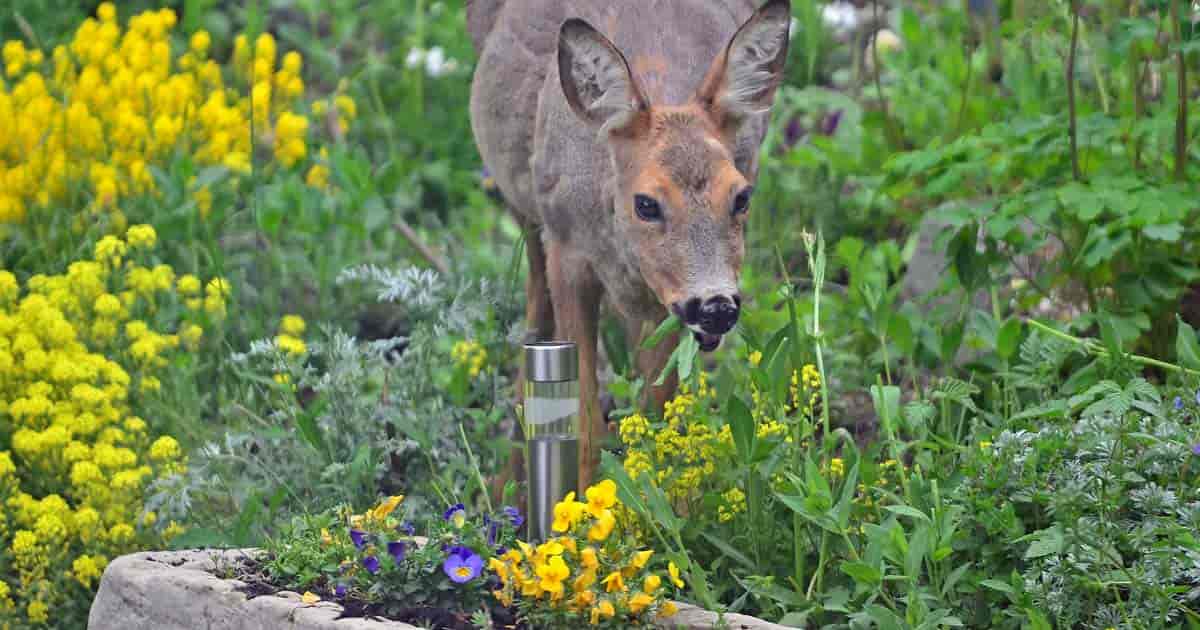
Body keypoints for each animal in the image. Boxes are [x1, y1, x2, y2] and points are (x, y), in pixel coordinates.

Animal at [463, 0, 792, 496]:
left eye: (741, 196)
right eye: (646, 203)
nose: (717, 306)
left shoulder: (669, 300)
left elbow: (655, 411)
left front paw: (646, 503)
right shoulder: (568, 252)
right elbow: (583, 419)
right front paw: (580, 506)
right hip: (526, 207)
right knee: (535, 311)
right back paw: (507, 486)